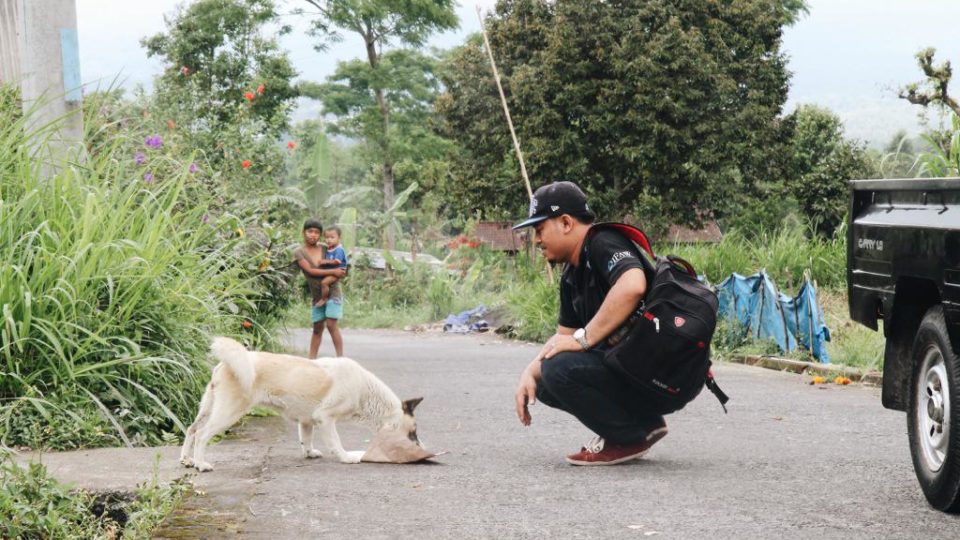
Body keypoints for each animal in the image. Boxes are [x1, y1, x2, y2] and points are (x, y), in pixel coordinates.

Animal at [180, 338, 420, 472]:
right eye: (413, 432)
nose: (420, 448)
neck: (365, 389)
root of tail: (225, 363)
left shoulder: (307, 420)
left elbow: (306, 438)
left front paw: (309, 452)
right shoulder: (326, 417)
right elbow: (336, 442)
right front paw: (346, 457)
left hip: (208, 408)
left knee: (191, 430)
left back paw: (186, 460)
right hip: (229, 412)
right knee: (201, 434)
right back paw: (201, 464)